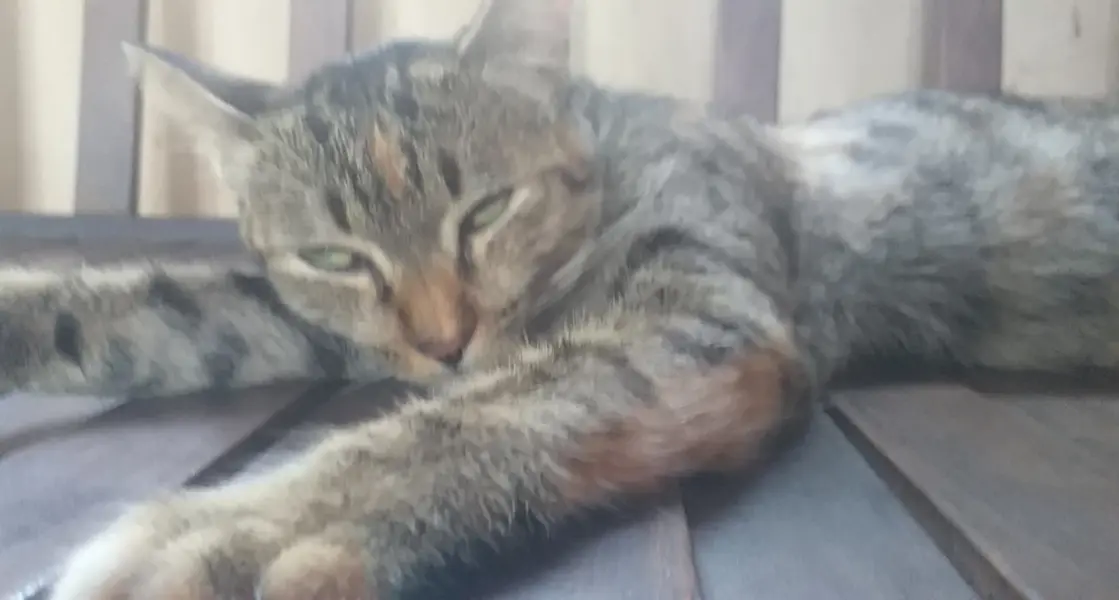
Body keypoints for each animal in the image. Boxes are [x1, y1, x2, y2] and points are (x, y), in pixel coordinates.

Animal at [1, 0, 1114, 597]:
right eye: (334, 255)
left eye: (487, 210)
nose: (444, 341)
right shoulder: (332, 325)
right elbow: (173, 309)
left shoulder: (701, 316)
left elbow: (475, 417)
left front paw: (219, 535)